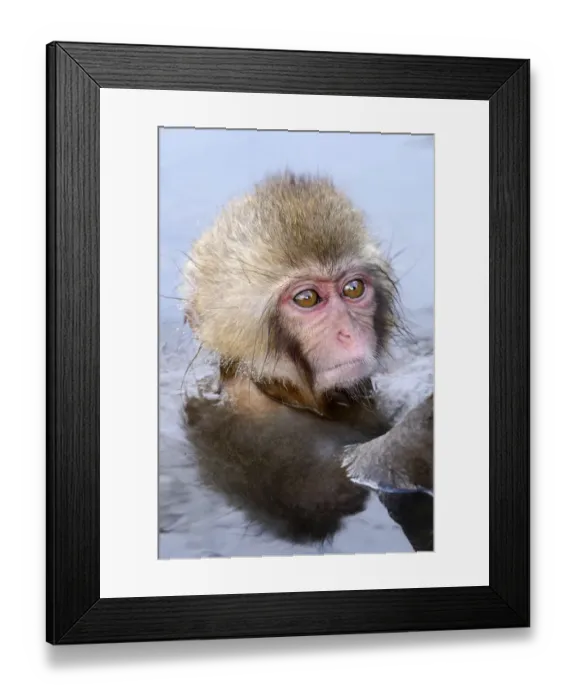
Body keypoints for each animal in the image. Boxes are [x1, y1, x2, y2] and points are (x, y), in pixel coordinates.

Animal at [179, 171, 433, 548]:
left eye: (354, 289)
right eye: (308, 298)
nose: (348, 333)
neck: (287, 394)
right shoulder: (265, 437)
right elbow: (348, 474)